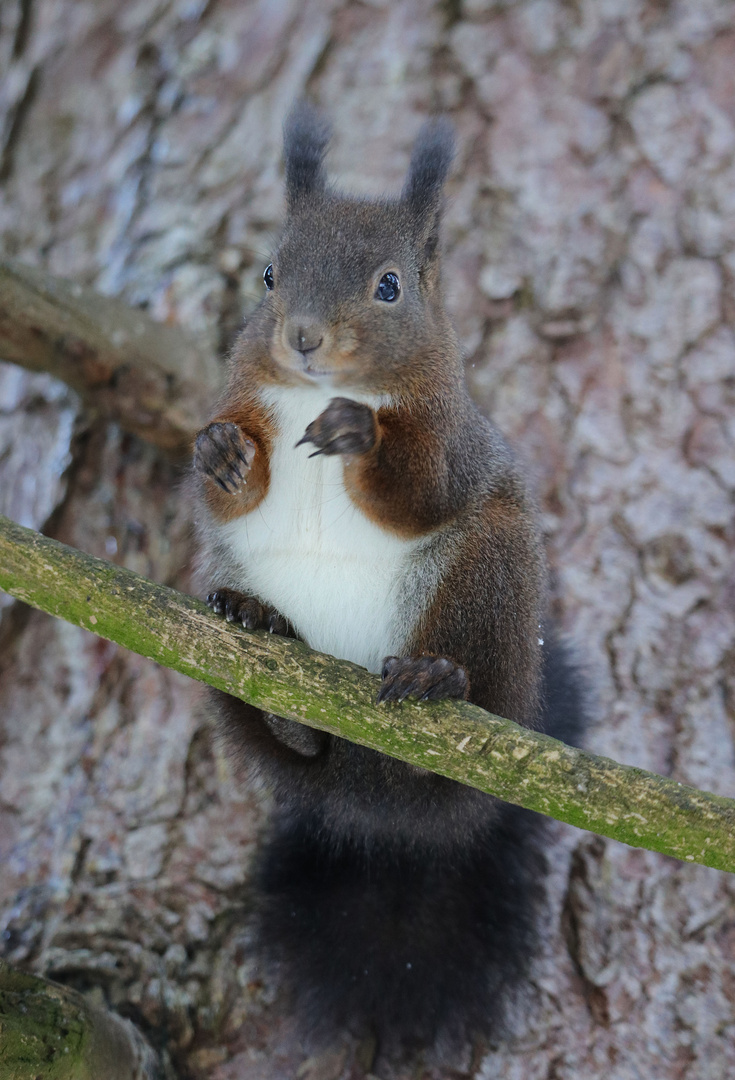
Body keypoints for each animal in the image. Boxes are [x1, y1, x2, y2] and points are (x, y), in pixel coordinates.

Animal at [193, 107, 582, 1062]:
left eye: (390, 287)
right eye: (269, 273)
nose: (301, 335)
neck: (315, 395)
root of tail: (384, 809)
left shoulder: (449, 439)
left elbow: (420, 494)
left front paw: (359, 436)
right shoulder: (248, 403)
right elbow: (234, 483)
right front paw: (218, 453)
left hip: (488, 575)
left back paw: (437, 679)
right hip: (230, 572)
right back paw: (267, 649)